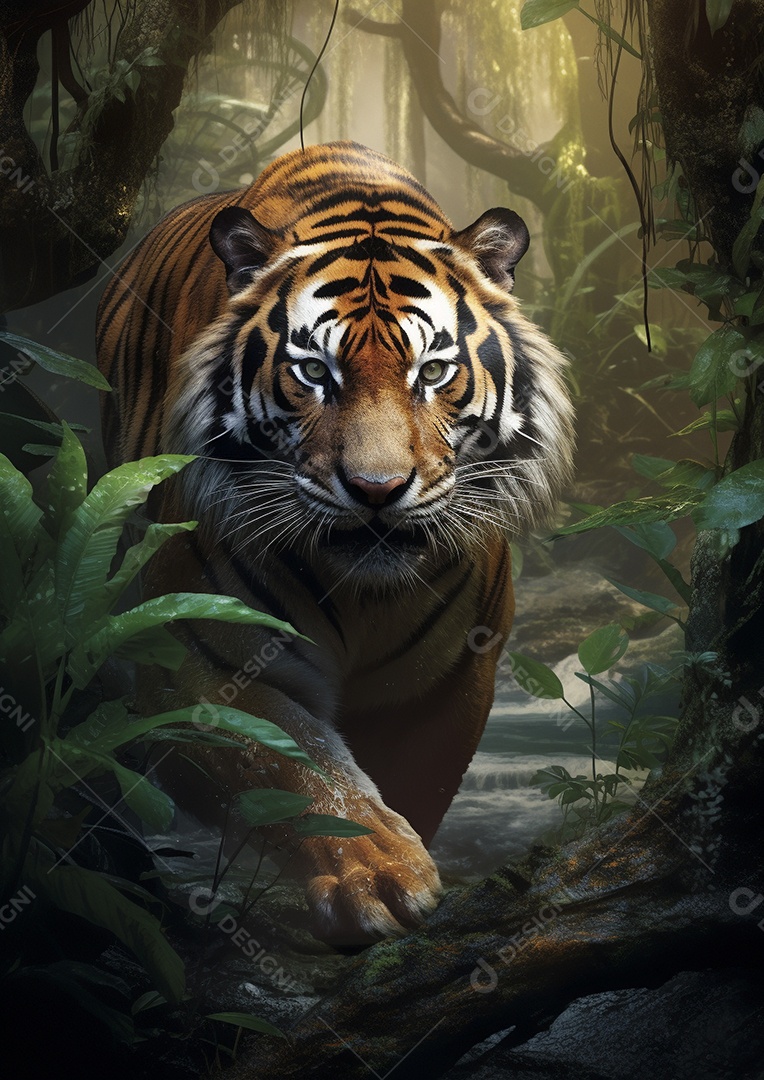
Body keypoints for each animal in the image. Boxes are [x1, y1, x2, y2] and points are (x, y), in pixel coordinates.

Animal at [96, 141, 574, 946]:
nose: (378, 490)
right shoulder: (191, 654)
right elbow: (294, 765)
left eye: (433, 371)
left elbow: (413, 781)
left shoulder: (453, 677)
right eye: (314, 372)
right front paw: (378, 877)